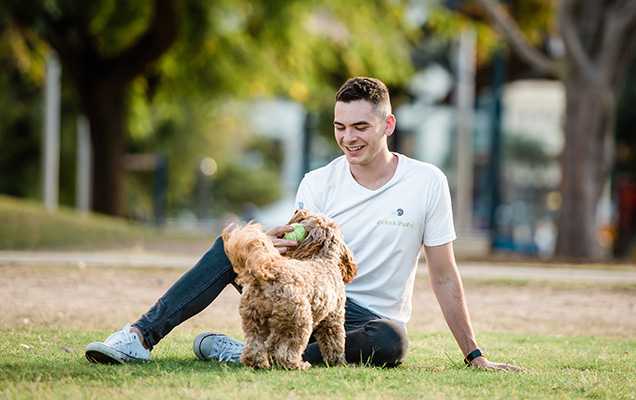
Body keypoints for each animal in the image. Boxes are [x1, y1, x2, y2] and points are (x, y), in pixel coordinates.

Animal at [221, 209, 357, 370]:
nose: (298, 212)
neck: (323, 258)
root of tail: (270, 271)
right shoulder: (333, 317)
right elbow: (335, 342)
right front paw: (339, 362)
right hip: (298, 319)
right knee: (283, 351)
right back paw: (298, 365)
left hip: (254, 317)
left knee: (255, 345)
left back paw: (258, 363)